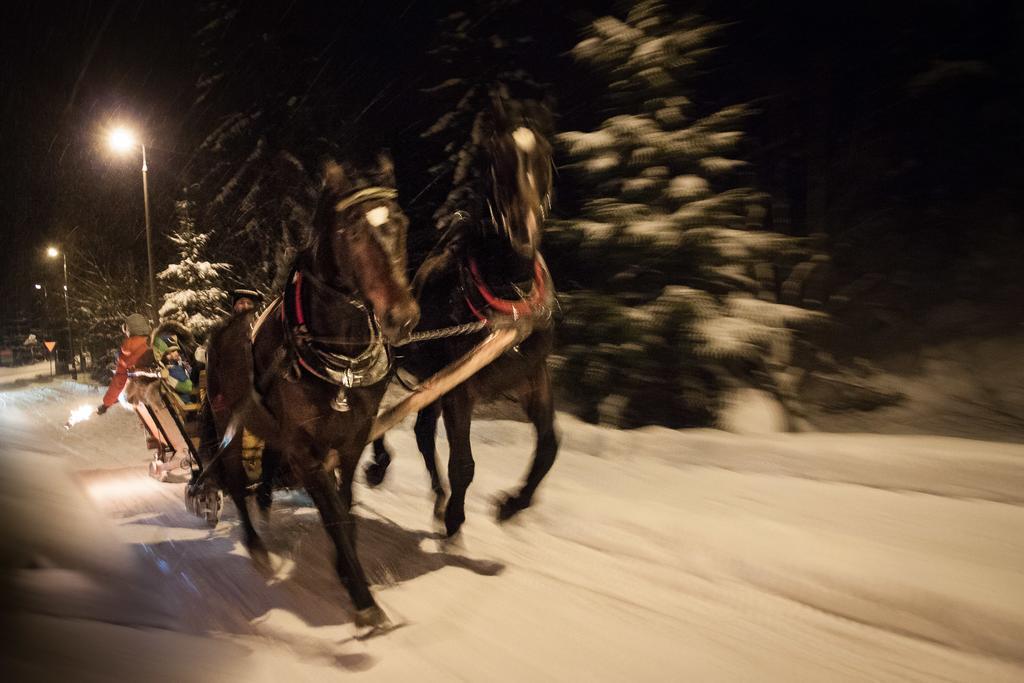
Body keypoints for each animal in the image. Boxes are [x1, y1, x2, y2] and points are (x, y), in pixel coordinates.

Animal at [204, 154, 419, 634]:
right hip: (231, 426)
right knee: (234, 482)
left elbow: (346, 507)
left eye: (401, 223)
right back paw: (256, 545)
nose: (403, 317)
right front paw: (363, 600)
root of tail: (220, 330)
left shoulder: (352, 440)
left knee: (264, 467)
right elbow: (334, 514)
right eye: (352, 232)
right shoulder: (306, 452)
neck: (340, 358)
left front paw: (346, 567)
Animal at [366, 101, 561, 540]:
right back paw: (380, 469)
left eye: (544, 157)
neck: (509, 299)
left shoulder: (532, 377)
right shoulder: (460, 390)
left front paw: (511, 505)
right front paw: (456, 519)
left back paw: (438, 499)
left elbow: (548, 447)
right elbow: (464, 464)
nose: (521, 231)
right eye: (496, 162)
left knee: (422, 433)